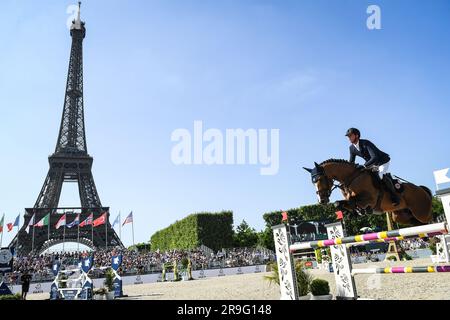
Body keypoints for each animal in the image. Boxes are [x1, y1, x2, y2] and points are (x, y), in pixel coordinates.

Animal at [302, 159, 432, 225]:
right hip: (400, 216)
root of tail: (422, 189)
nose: (322, 200)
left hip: (421, 213)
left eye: (319, 179)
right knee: (417, 224)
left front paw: (362, 211)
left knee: (429, 221)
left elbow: (352, 201)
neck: (351, 178)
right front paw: (352, 213)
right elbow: (339, 203)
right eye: (313, 182)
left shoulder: (370, 199)